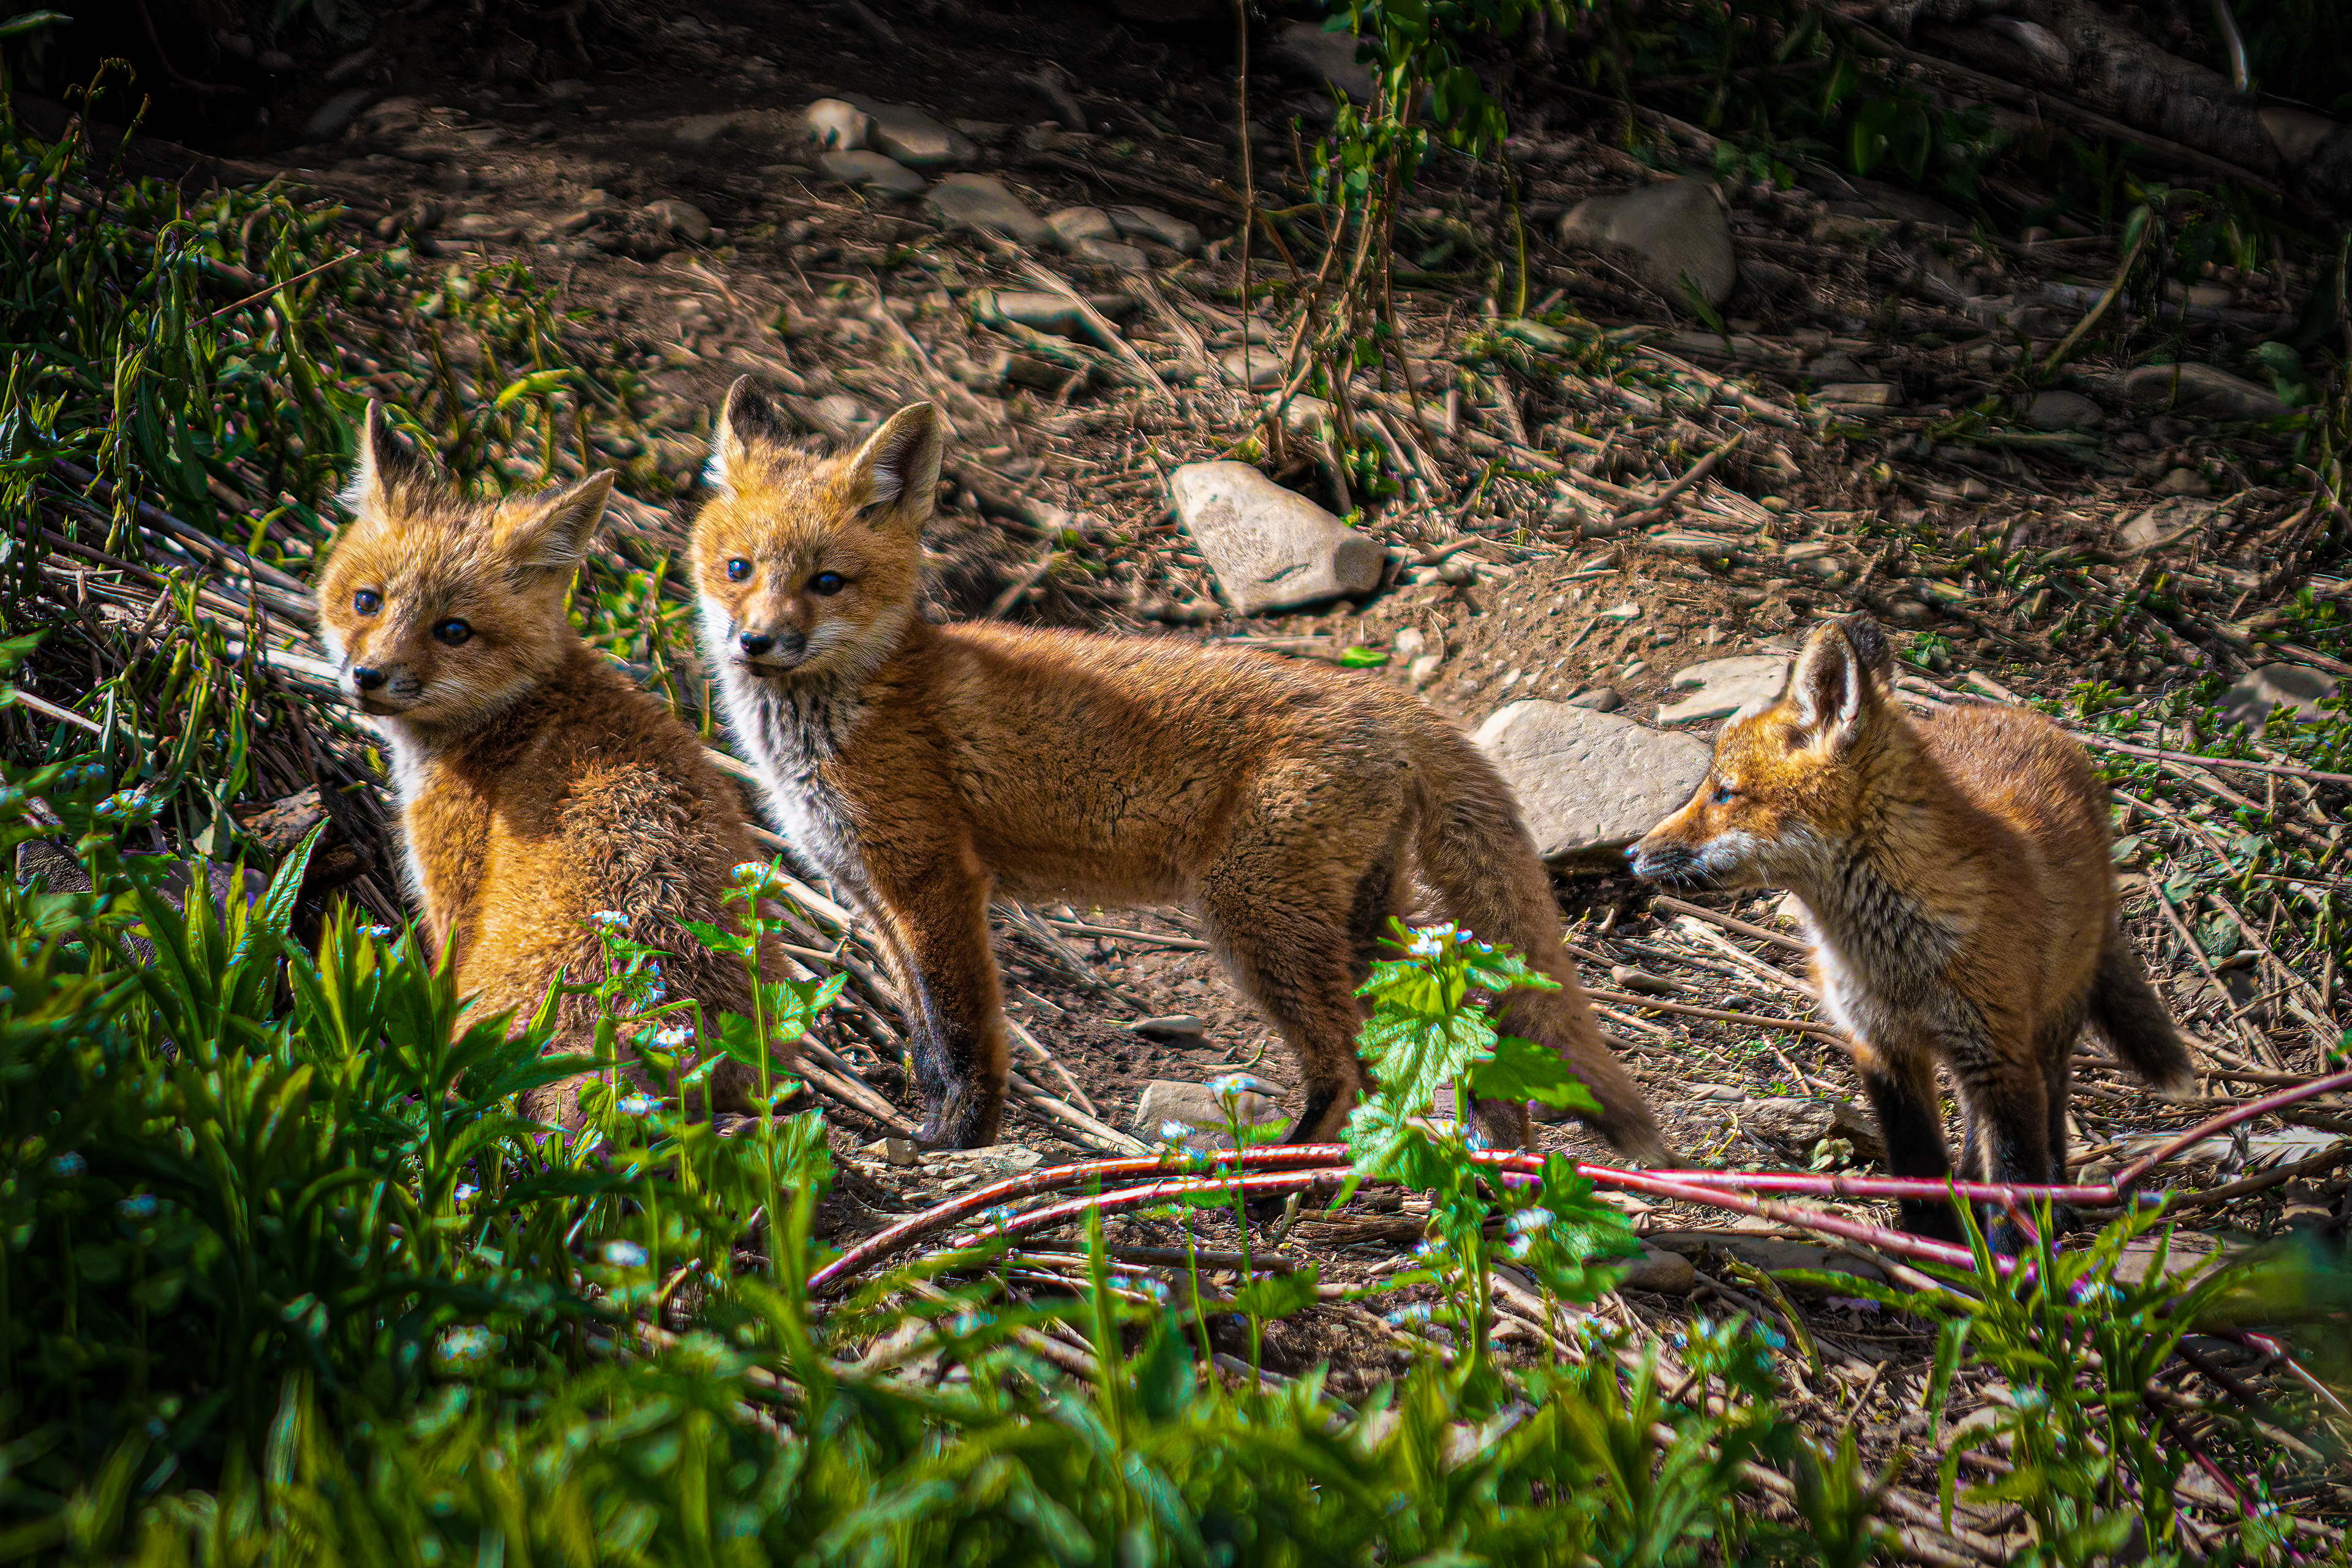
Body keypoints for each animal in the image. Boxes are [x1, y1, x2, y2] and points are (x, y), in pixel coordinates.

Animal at [686, 378, 1669, 1163]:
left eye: (827, 582)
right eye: (738, 569)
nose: (757, 644)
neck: (852, 707)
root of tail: (1391, 699)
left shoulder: (936, 881)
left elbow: (964, 1038)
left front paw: (963, 1142)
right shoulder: (867, 894)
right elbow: (926, 1042)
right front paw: (935, 1133)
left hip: (1253, 914)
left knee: (1353, 1061)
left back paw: (1283, 1179)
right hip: (1357, 922)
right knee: (1447, 1038)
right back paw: (1489, 1174)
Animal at [1629, 613, 2193, 1251]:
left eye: (1724, 793)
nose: (1632, 855)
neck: (1896, 961)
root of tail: (2015, 712)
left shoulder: (2000, 1052)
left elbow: (2014, 1179)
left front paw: (2011, 1266)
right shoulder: (1881, 1047)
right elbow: (1919, 1165)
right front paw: (1933, 1248)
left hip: (2048, 1024)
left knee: (2048, 1107)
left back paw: (2055, 1196)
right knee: (1973, 1128)